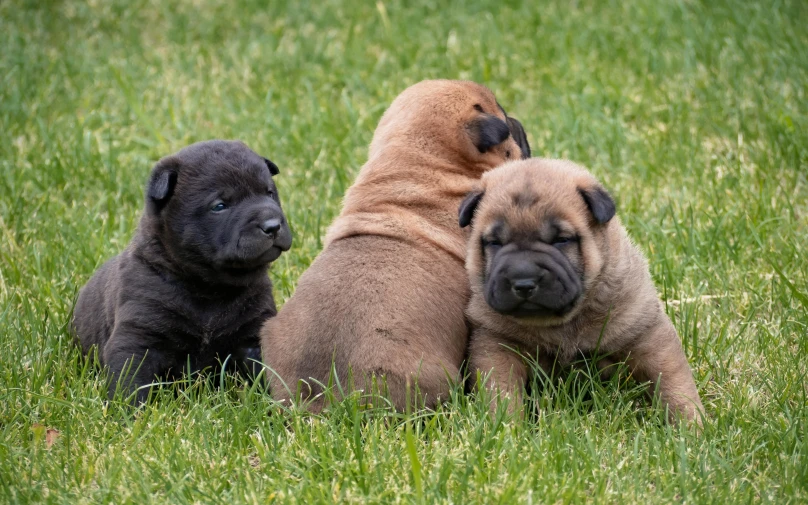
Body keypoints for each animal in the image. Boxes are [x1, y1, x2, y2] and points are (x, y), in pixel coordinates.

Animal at [72, 141, 292, 402]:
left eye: (269, 193)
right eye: (219, 206)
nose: (273, 225)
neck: (210, 288)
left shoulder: (254, 334)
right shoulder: (138, 336)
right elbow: (131, 383)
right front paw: (128, 411)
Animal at [464, 158, 704, 422]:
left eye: (561, 240)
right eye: (494, 243)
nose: (524, 282)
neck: (562, 322)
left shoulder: (646, 333)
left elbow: (674, 384)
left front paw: (692, 424)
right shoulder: (496, 343)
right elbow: (500, 391)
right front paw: (506, 424)